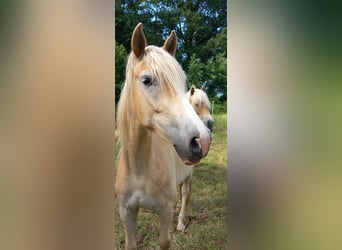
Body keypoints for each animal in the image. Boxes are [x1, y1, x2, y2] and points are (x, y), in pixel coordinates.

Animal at [176, 84, 214, 232]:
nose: (211, 122)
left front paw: (181, 222)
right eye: (197, 104)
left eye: (208, 105)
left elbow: (184, 192)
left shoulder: (188, 171)